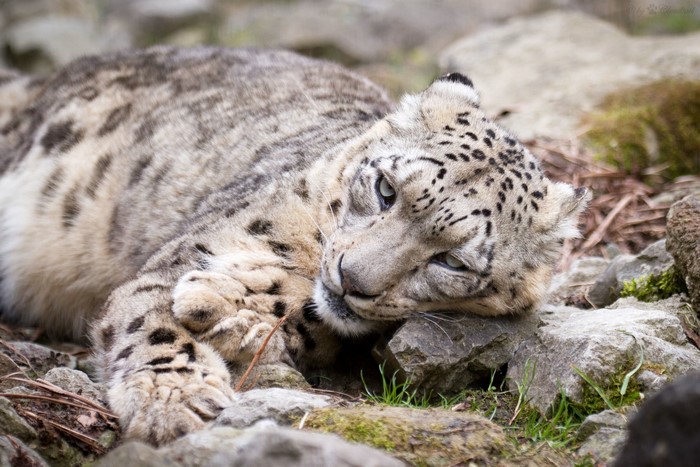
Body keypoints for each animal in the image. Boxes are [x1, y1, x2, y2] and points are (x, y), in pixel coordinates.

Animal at [0, 46, 589, 445]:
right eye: (386, 189)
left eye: (452, 261)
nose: (352, 280)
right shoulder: (178, 258)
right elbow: (155, 321)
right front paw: (177, 402)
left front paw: (232, 311)